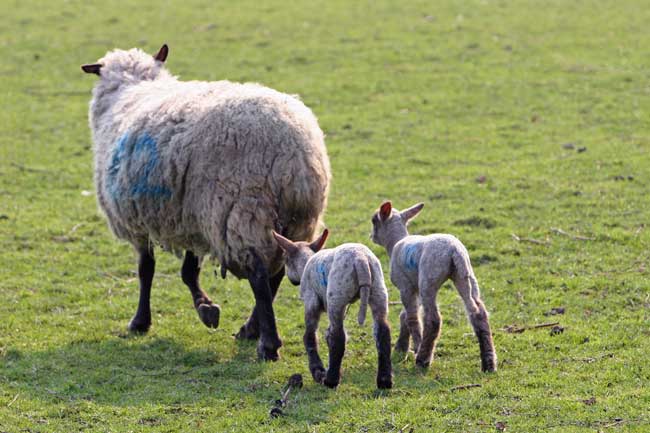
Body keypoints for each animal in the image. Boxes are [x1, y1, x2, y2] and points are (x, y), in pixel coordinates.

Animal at [81, 44, 331, 361]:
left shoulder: (139, 222)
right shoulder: (189, 217)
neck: (132, 87)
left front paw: (140, 321)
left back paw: (267, 343)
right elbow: (188, 271)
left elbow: (146, 270)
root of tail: (294, 154)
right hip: (297, 219)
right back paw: (251, 329)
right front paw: (206, 308)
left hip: (243, 212)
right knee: (279, 273)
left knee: (260, 278)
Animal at [272, 229, 393, 389]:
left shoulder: (311, 300)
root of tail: (361, 260)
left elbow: (310, 336)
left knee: (338, 337)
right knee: (383, 332)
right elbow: (327, 334)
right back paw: (384, 381)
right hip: (378, 291)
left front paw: (318, 371)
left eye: (285, 259)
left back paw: (331, 380)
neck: (306, 262)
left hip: (336, 295)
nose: (292, 281)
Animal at [370, 201, 497, 372]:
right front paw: (401, 348)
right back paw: (488, 363)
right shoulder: (414, 287)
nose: (371, 237)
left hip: (428, 280)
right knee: (479, 313)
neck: (396, 242)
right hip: (465, 277)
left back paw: (422, 359)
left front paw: (414, 347)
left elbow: (411, 317)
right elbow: (404, 315)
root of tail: (454, 251)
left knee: (433, 319)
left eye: (374, 221)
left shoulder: (405, 286)